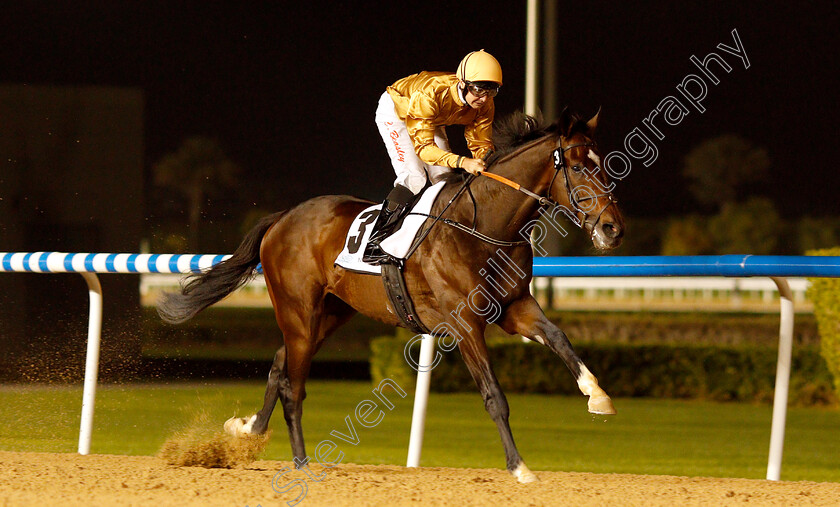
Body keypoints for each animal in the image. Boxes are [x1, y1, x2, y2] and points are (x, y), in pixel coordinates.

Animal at [158, 110, 624, 484]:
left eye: (601, 164)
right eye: (578, 167)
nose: (613, 229)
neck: (483, 225)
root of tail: (281, 219)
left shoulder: (514, 307)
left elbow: (559, 337)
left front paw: (597, 396)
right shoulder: (464, 324)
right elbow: (495, 397)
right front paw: (520, 467)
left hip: (330, 313)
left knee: (278, 364)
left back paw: (250, 427)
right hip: (299, 311)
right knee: (293, 384)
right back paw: (301, 462)